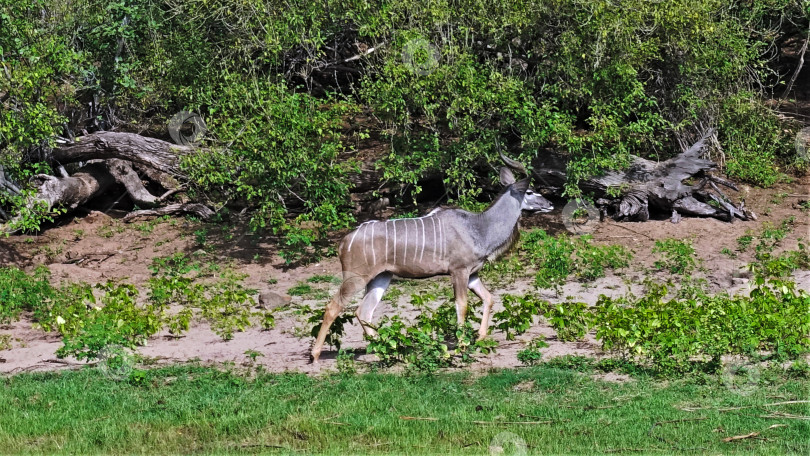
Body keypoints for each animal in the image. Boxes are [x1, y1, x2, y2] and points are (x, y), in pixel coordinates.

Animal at [308, 157, 548, 364]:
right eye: (529, 190)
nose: (549, 203)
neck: (478, 227)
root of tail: (344, 241)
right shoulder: (459, 271)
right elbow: (462, 305)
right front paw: (461, 347)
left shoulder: (472, 274)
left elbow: (488, 298)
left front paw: (480, 337)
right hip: (356, 277)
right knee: (333, 307)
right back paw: (315, 355)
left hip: (381, 278)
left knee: (363, 311)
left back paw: (385, 352)